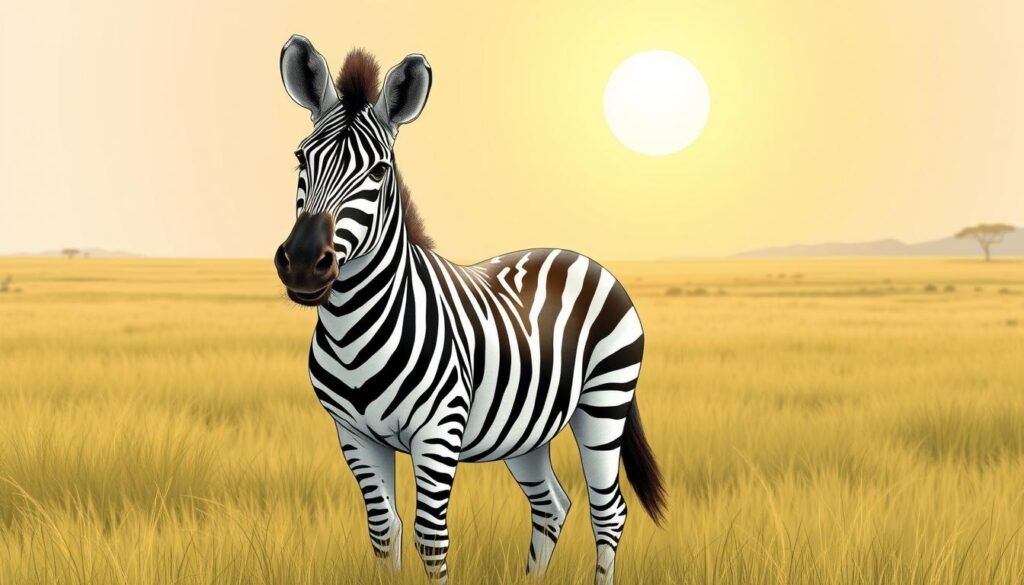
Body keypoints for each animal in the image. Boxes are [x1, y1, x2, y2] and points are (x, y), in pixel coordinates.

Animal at [274, 35, 666, 585]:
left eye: (379, 171)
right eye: (300, 159)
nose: (306, 264)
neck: (354, 331)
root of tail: (580, 257)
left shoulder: (438, 432)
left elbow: (431, 539)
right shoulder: (353, 435)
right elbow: (384, 533)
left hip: (604, 400)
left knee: (608, 512)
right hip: (527, 428)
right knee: (552, 505)